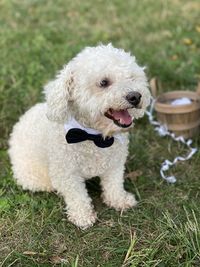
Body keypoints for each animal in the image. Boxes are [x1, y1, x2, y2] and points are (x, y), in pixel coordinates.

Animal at [8, 45, 151, 229]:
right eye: (104, 82)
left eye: (132, 77)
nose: (135, 96)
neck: (93, 137)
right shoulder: (66, 173)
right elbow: (77, 196)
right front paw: (83, 216)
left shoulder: (114, 165)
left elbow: (114, 184)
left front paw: (119, 200)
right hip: (34, 177)